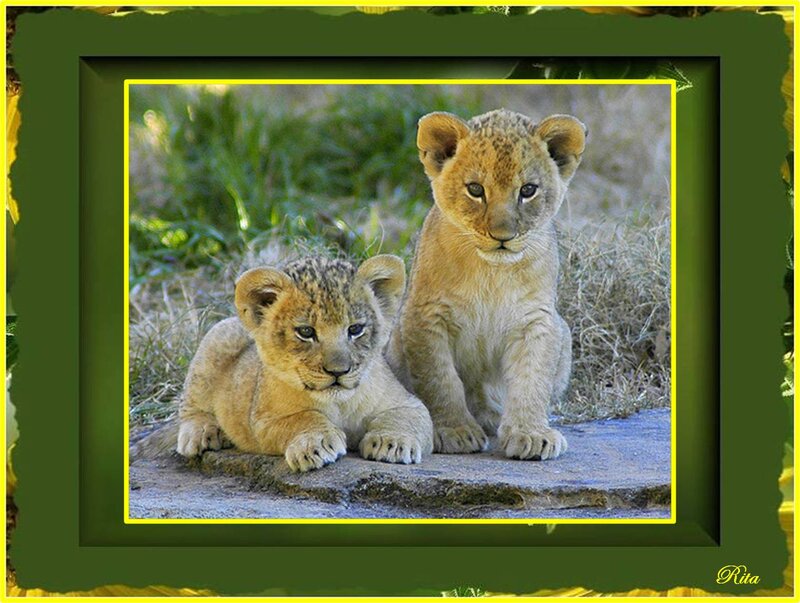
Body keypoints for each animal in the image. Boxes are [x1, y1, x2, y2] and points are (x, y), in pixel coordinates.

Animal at [176, 255, 434, 472]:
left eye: (355, 329)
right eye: (306, 332)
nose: (338, 371)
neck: (339, 404)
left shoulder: (407, 401)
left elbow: (406, 416)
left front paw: (392, 443)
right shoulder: (262, 421)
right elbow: (303, 417)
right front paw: (316, 443)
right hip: (219, 334)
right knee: (191, 403)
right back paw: (200, 434)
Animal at [387, 109, 586, 461]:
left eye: (528, 190)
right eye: (475, 190)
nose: (502, 236)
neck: (492, 272)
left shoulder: (537, 320)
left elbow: (531, 379)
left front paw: (531, 434)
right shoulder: (425, 317)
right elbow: (440, 378)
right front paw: (453, 431)